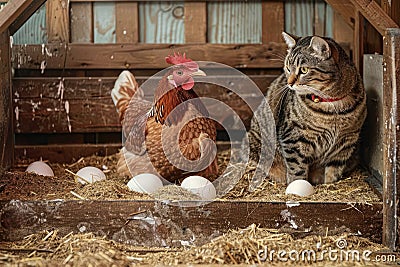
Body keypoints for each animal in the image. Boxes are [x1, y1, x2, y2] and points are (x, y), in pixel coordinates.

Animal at [248, 32, 368, 185]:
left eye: (304, 70)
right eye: (288, 68)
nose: (289, 83)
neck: (332, 106)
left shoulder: (346, 141)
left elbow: (334, 170)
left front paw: (329, 184)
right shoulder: (293, 138)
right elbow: (297, 168)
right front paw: (296, 185)